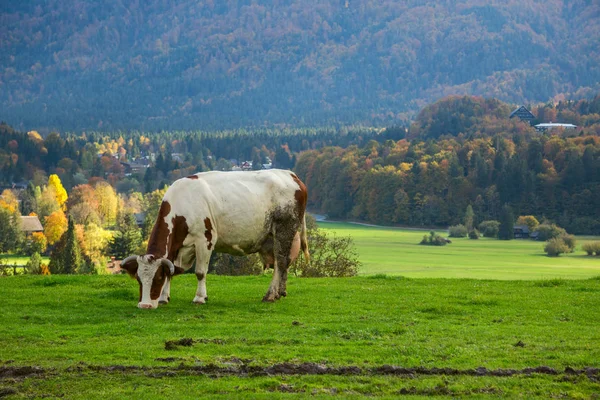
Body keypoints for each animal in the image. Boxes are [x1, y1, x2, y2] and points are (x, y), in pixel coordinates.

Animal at [120, 169, 312, 310]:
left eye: (157, 278)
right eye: (138, 279)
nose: (145, 305)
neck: (182, 205)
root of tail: (291, 175)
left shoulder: (205, 240)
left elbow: (200, 272)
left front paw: (199, 298)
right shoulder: (176, 247)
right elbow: (172, 270)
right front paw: (163, 298)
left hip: (284, 230)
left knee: (280, 262)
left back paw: (271, 295)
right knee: (284, 262)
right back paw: (281, 292)